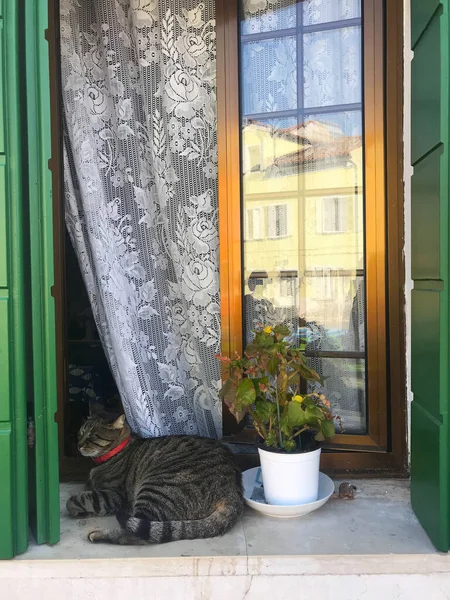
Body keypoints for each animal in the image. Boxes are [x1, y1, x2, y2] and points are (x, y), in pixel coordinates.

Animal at [66, 406, 243, 548]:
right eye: (81, 432)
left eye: (92, 436)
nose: (78, 445)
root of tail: (233, 491)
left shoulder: (115, 495)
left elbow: (79, 500)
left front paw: (76, 508)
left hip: (155, 489)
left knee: (139, 535)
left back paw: (99, 535)